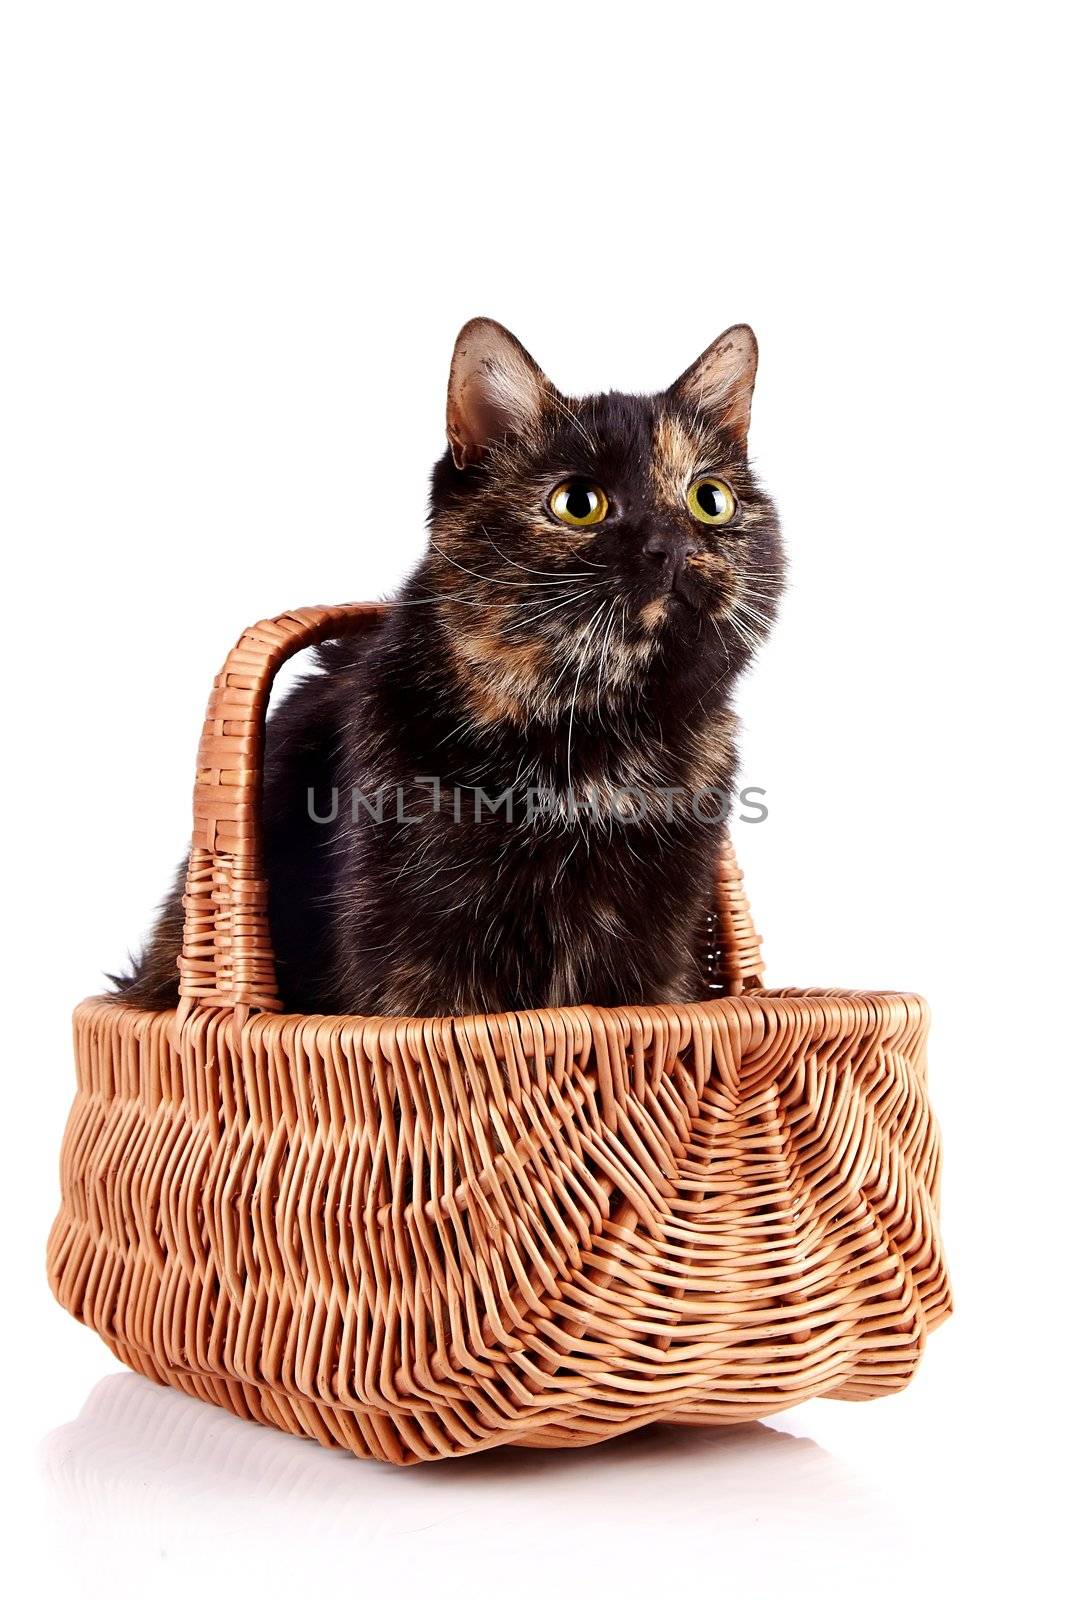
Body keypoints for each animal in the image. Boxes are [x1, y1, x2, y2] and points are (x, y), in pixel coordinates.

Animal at [120, 321, 783, 1011]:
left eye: (710, 500)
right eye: (578, 503)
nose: (673, 545)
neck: (600, 726)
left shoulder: (659, 946)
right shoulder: (415, 951)